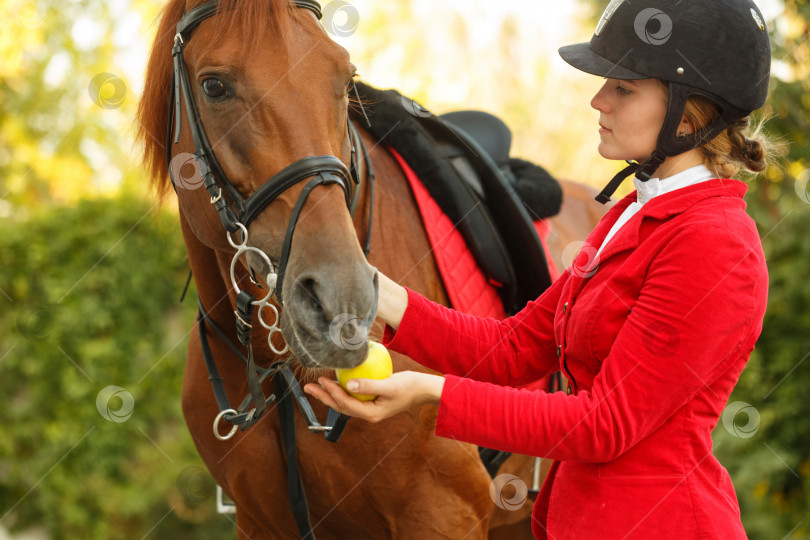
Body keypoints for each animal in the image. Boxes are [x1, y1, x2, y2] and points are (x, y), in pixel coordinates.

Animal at [137, 2, 608, 536]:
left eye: (345, 80)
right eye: (214, 85)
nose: (340, 299)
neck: (277, 369)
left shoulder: (443, 515)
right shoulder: (259, 523)